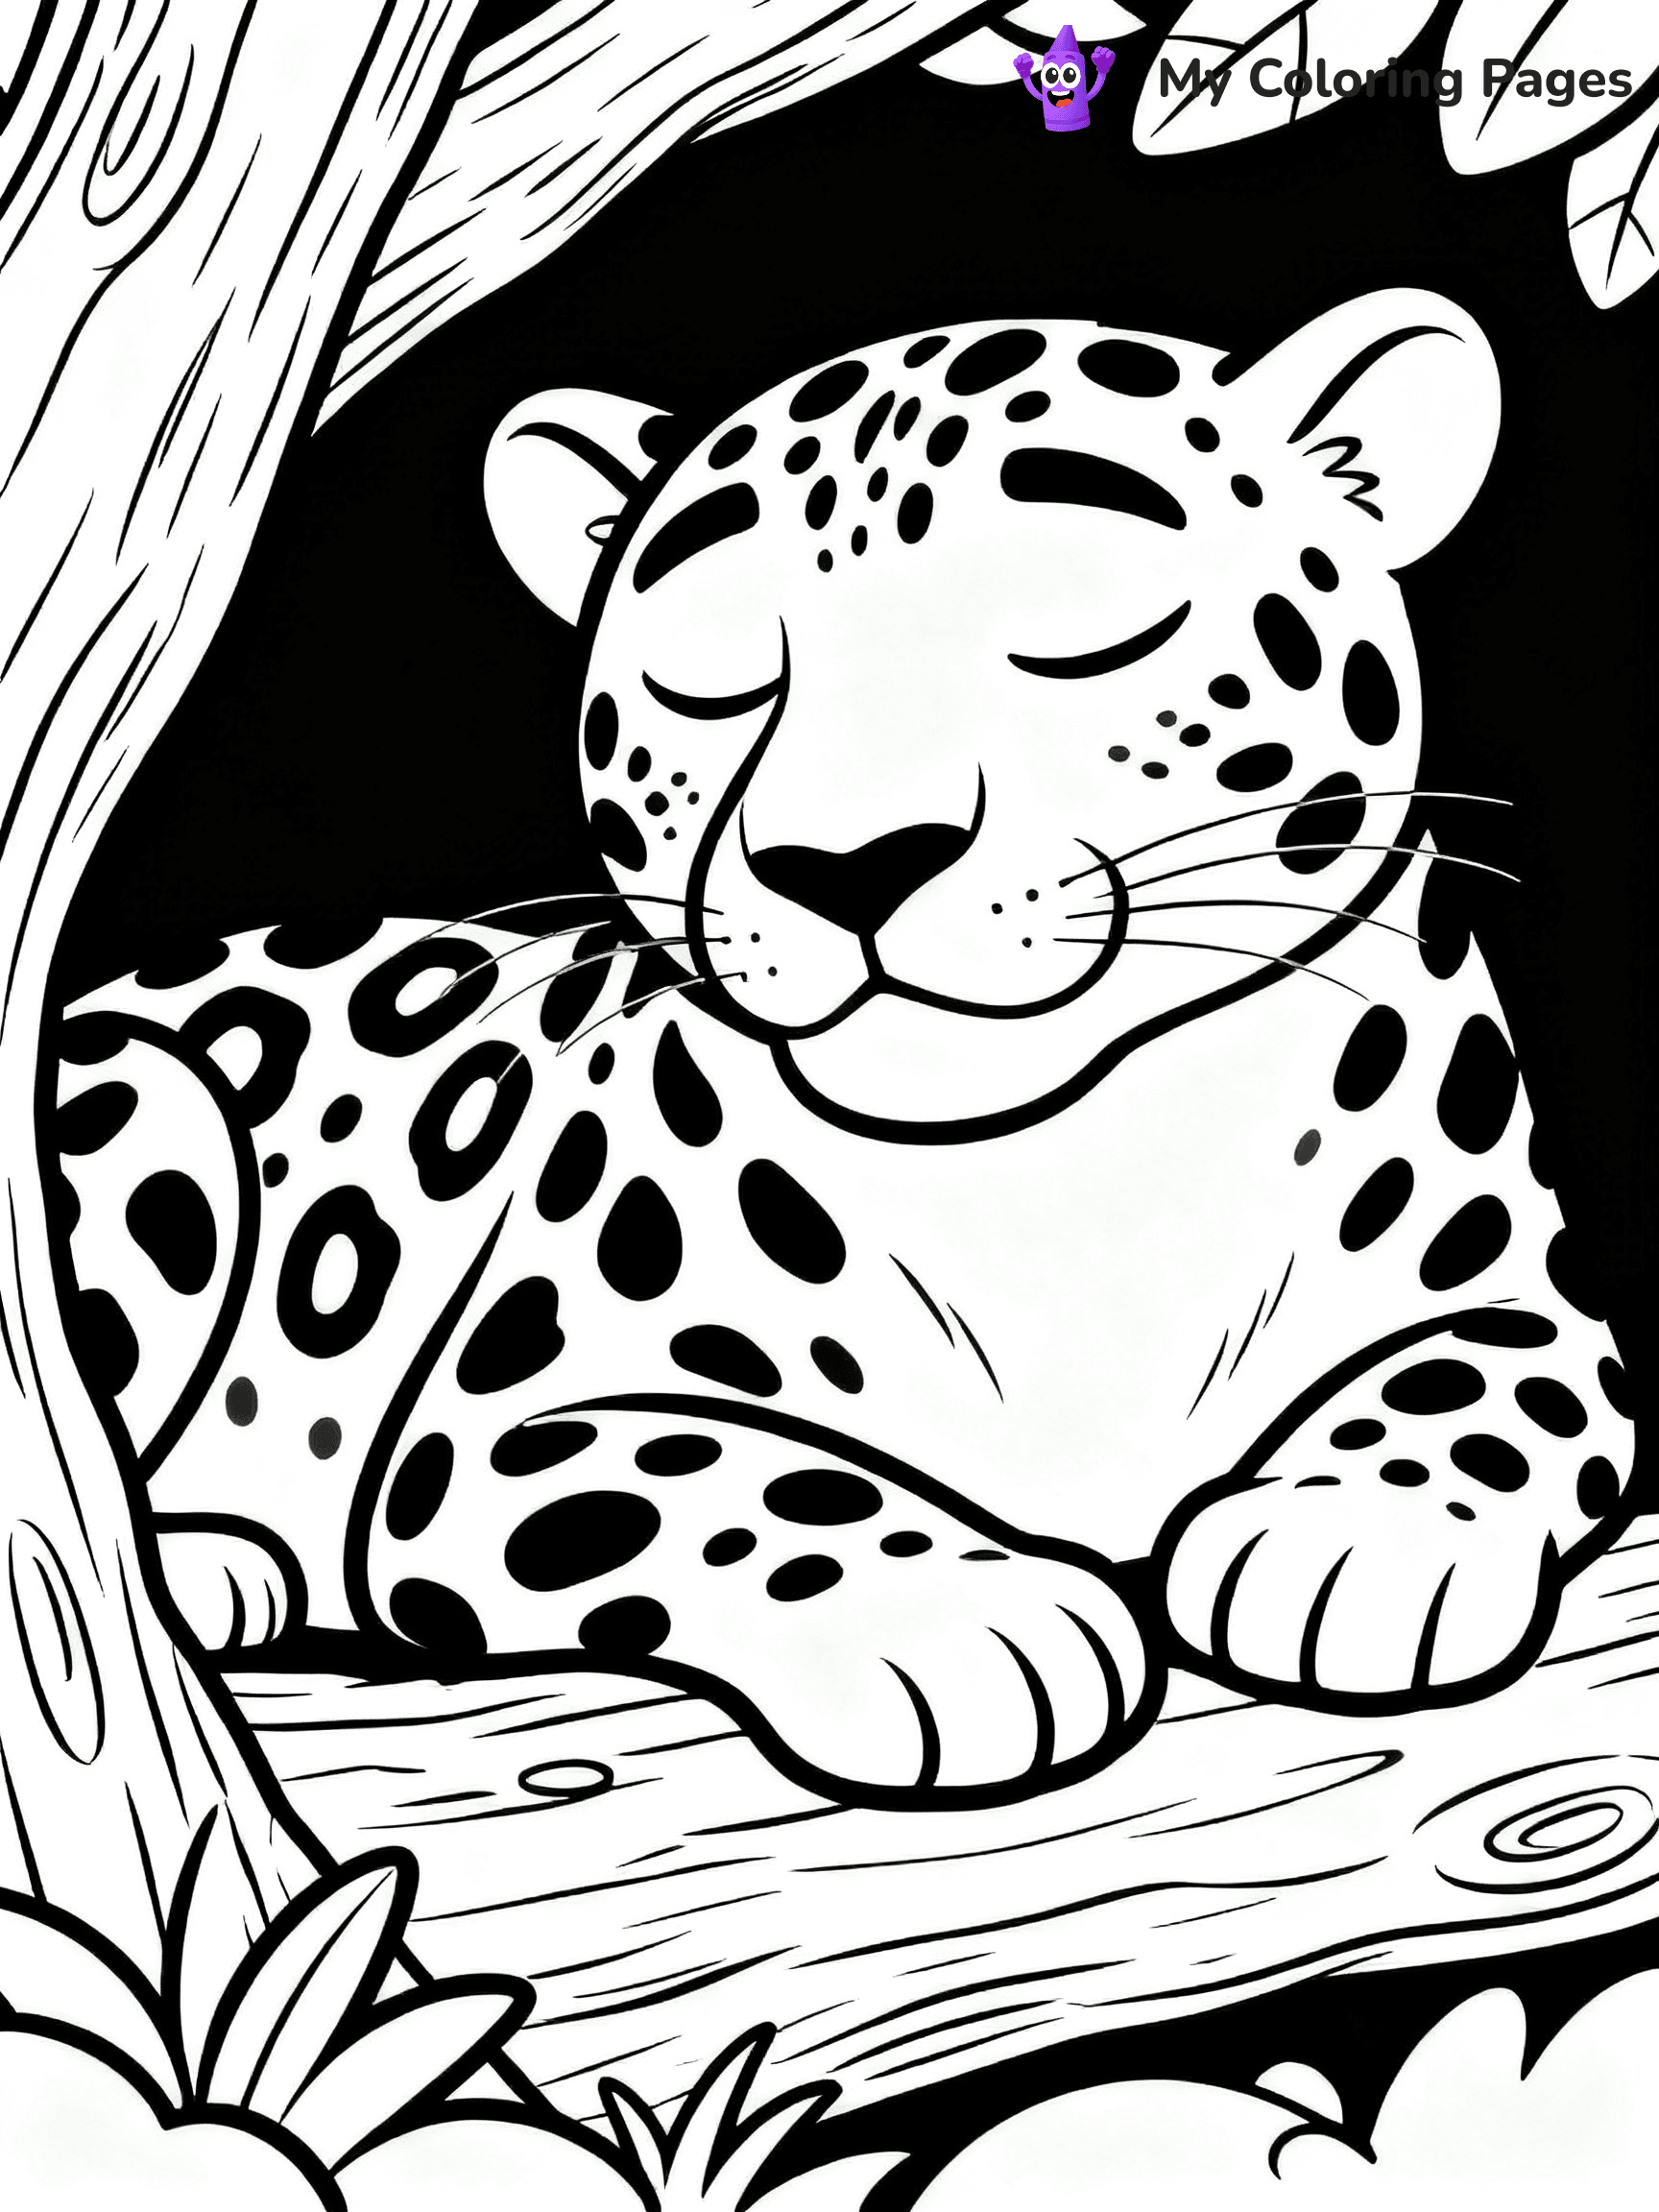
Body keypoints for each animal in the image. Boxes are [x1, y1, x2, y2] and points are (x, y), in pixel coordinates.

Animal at [51, 287, 1636, 1811]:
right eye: (712, 667)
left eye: (1091, 617)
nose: (851, 866)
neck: (1068, 1178)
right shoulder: (508, 1424)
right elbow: (738, 1479)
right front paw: (969, 1624)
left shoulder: (1532, 1306)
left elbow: (1473, 1391)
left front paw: (1352, 1539)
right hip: (154, 1097)